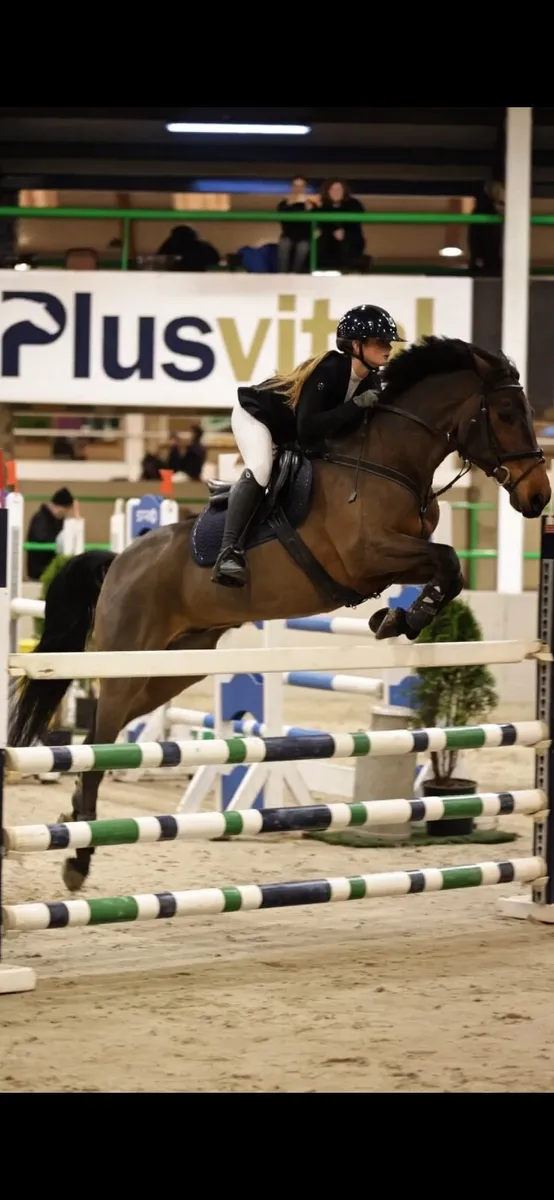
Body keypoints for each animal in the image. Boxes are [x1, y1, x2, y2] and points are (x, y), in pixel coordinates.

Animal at [9, 335, 551, 893]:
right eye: (506, 413)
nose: (539, 497)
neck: (389, 461)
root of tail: (118, 561)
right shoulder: (367, 556)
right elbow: (447, 559)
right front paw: (408, 618)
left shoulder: (395, 555)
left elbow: (449, 568)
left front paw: (396, 620)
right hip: (127, 659)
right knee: (98, 740)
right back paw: (78, 857)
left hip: (173, 666)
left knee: (111, 732)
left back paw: (75, 823)